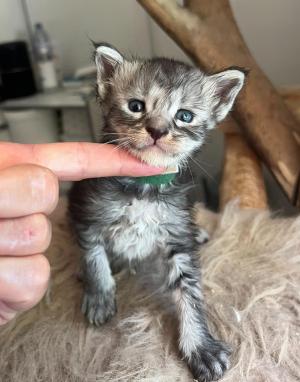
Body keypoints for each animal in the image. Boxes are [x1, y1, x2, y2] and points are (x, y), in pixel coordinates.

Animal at [69, 44, 245, 382]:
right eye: (136, 106)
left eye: (184, 116)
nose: (157, 130)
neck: (144, 188)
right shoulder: (90, 212)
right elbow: (94, 257)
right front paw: (99, 295)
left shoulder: (177, 235)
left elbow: (189, 291)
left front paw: (200, 346)